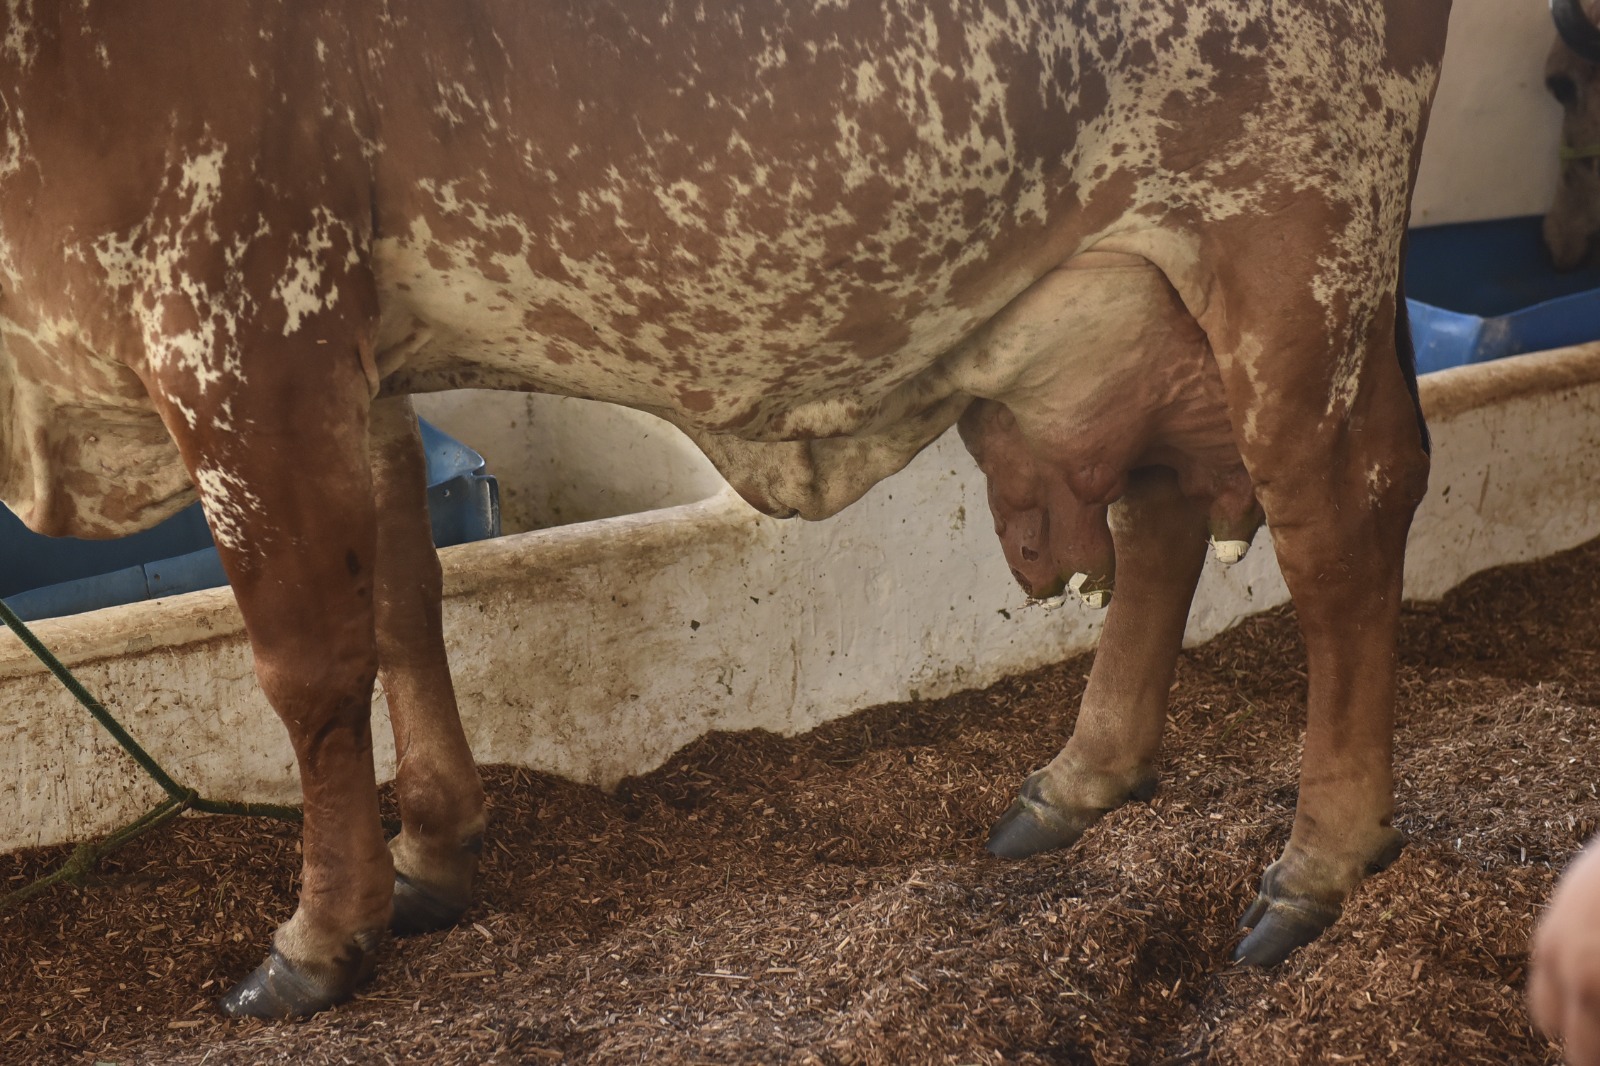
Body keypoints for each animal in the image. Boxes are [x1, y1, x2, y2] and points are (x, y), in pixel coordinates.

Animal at [0, 0, 1450, 1018]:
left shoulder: (243, 335)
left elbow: (308, 669)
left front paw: (318, 935)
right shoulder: (356, 362)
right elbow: (408, 602)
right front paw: (433, 853)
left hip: (1299, 255)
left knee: (1344, 522)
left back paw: (1320, 857)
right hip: (1136, 296)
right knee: (1159, 511)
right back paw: (1079, 780)